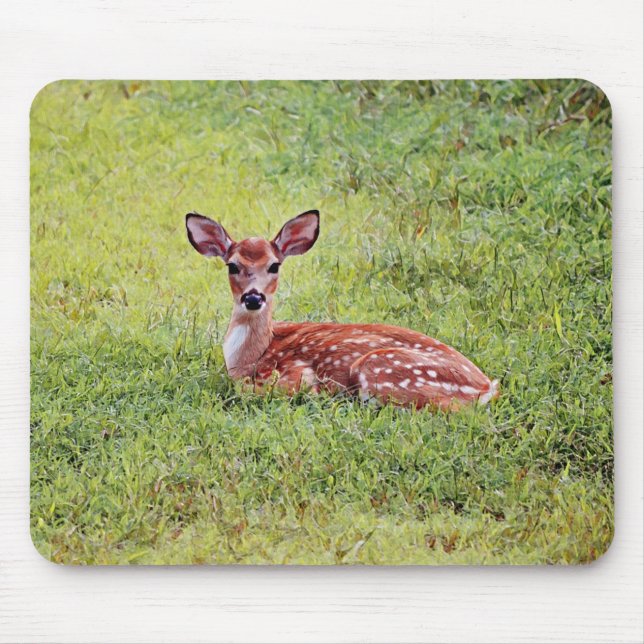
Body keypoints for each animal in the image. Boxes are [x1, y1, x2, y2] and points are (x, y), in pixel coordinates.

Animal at [185, 209, 499, 410]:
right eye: (232, 265)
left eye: (274, 265)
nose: (253, 298)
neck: (250, 357)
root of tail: (487, 388)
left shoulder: (294, 374)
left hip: (379, 369)